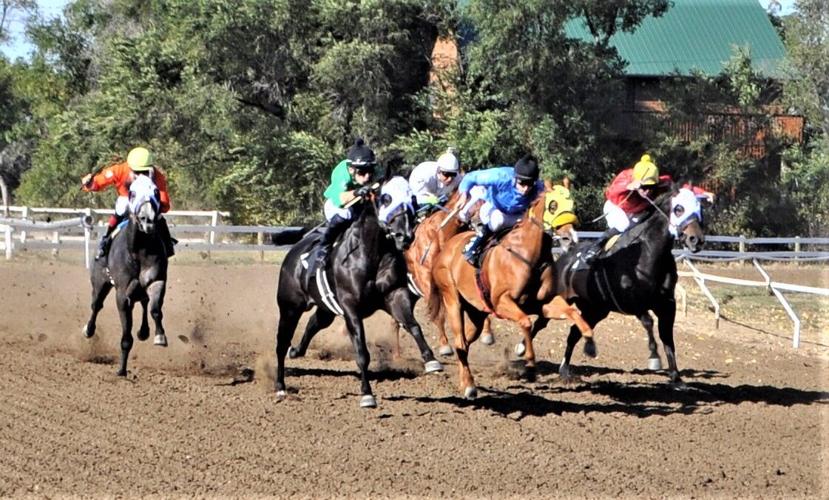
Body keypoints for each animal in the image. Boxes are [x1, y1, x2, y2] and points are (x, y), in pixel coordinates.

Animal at [83, 176, 169, 376]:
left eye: (156, 191)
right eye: (133, 193)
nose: (147, 219)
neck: (138, 251)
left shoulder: (157, 281)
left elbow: (155, 310)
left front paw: (160, 336)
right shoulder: (122, 294)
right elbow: (126, 335)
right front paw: (121, 370)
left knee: (145, 303)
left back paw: (144, 331)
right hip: (100, 283)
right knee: (96, 306)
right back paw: (89, 330)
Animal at [274, 178, 444, 408]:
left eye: (412, 198)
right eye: (386, 198)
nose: (405, 236)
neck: (371, 256)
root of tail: (295, 250)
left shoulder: (395, 296)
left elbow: (413, 326)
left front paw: (431, 360)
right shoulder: (351, 307)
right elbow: (362, 352)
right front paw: (367, 395)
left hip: (325, 307)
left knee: (314, 323)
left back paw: (296, 351)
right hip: (289, 307)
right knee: (281, 342)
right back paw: (280, 386)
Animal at [430, 187, 592, 398]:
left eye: (571, 204)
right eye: (553, 205)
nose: (569, 238)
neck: (528, 256)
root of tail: (447, 248)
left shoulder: (542, 302)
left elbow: (570, 312)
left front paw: (590, 341)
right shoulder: (502, 303)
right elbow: (525, 322)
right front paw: (529, 364)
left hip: (477, 313)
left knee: (464, 344)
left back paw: (465, 382)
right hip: (452, 300)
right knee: (459, 342)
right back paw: (469, 386)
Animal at [552, 186, 700, 384]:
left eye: (699, 208)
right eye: (679, 209)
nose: (696, 239)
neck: (648, 254)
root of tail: (565, 257)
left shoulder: (667, 304)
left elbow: (667, 337)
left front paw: (676, 377)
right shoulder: (630, 302)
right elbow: (648, 322)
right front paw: (654, 357)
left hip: (596, 309)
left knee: (574, 332)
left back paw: (566, 369)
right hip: (562, 298)